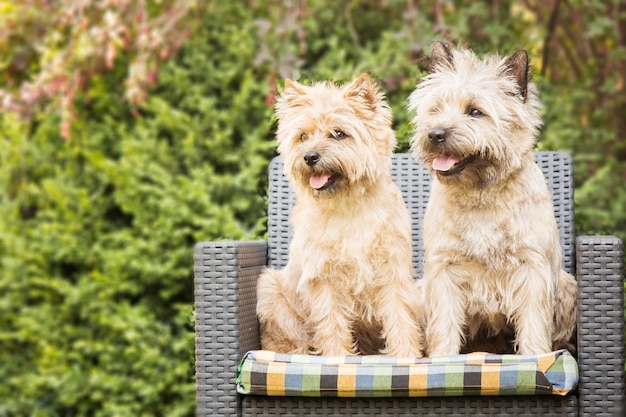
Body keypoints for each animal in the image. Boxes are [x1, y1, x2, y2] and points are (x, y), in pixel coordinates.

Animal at [255, 73, 424, 356]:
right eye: (303, 136)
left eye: (338, 134)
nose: (309, 156)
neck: (347, 206)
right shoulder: (324, 279)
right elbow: (331, 323)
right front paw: (337, 358)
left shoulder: (392, 271)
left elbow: (400, 317)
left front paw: (406, 356)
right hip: (271, 289)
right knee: (287, 340)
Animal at [410, 41, 576, 354]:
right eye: (435, 108)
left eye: (475, 112)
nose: (435, 134)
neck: (481, 194)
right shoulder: (444, 269)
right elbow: (444, 324)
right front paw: (441, 357)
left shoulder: (532, 267)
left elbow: (534, 323)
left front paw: (537, 357)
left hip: (567, 286)